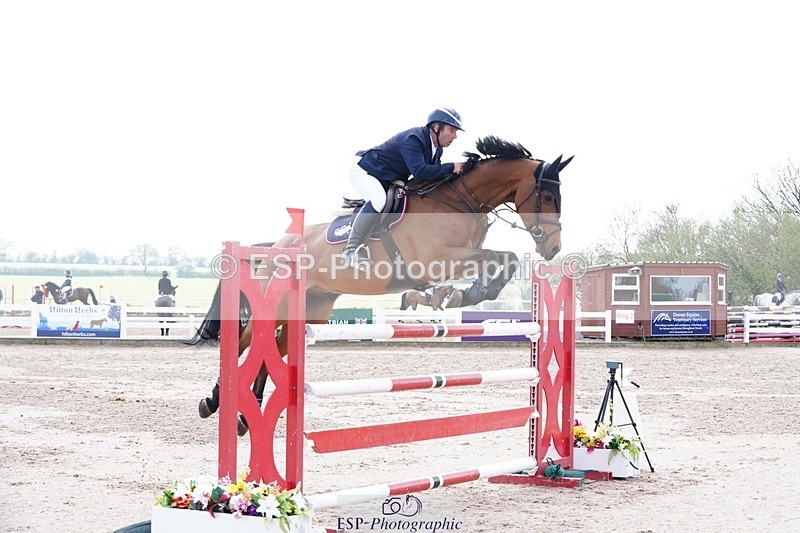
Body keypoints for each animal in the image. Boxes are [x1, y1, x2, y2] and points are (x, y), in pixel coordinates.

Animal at [191, 135, 571, 434]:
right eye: (548, 198)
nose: (553, 249)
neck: (460, 202)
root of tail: (278, 244)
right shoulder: (438, 259)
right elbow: (496, 257)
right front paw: (467, 293)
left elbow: (505, 258)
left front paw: (472, 293)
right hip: (280, 304)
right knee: (246, 339)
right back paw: (214, 400)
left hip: (312, 310)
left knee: (273, 347)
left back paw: (245, 417)